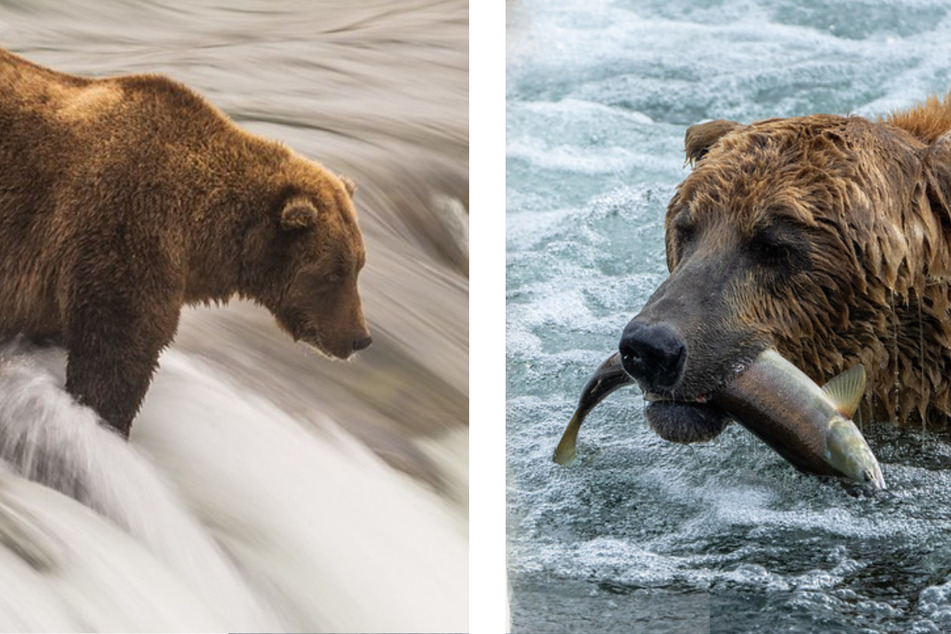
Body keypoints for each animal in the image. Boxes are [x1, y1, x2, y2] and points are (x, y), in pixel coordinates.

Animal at [0, 47, 372, 437]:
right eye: (334, 273)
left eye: (359, 266)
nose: (360, 338)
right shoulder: (123, 233)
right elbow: (117, 354)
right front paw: (106, 422)